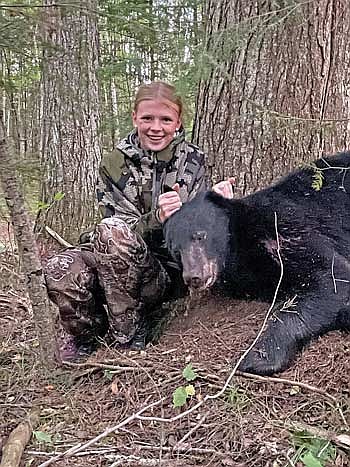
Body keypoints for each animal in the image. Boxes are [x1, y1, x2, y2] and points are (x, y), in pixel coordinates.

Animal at [164, 153, 350, 376]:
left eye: (200, 235)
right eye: (176, 250)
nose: (193, 277)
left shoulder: (283, 224)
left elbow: (332, 276)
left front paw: (257, 358)